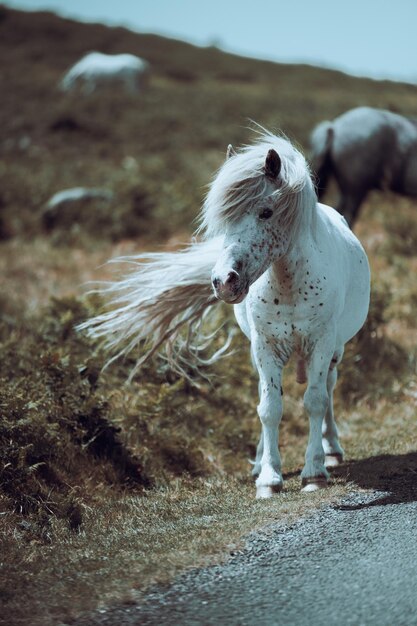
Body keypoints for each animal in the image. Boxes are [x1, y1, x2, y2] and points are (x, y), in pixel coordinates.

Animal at [79, 132, 368, 498]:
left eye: (265, 212)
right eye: (225, 218)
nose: (223, 281)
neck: (290, 284)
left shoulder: (321, 343)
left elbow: (315, 401)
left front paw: (314, 472)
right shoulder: (265, 346)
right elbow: (269, 408)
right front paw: (269, 478)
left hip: (335, 350)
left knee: (328, 389)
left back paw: (331, 450)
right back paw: (261, 460)